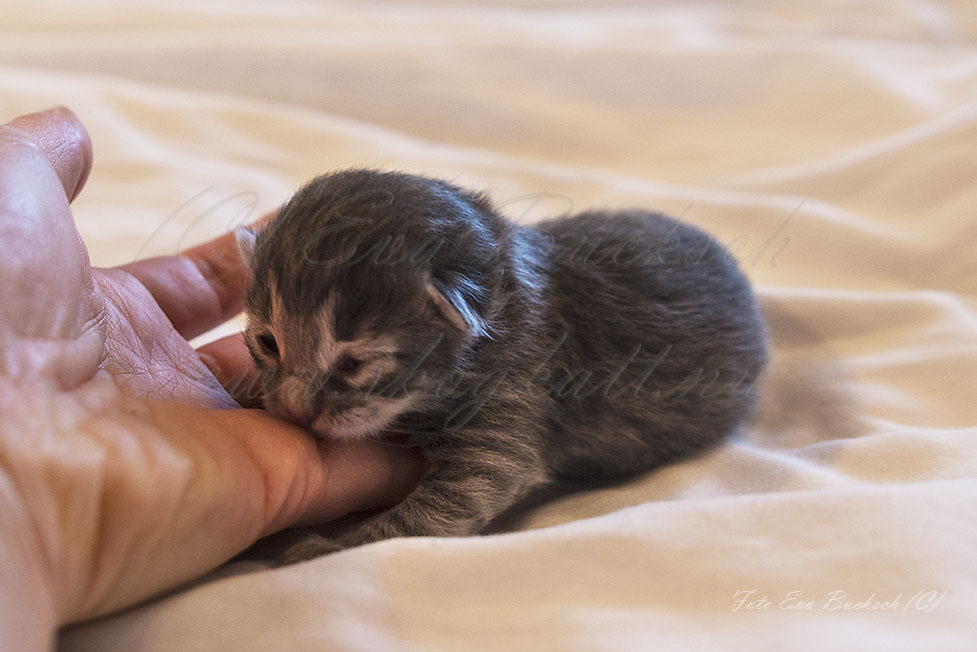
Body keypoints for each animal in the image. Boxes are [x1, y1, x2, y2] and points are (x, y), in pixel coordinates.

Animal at [238, 171, 772, 564]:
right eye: (268, 342)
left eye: (354, 363)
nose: (293, 410)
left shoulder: (510, 406)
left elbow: (449, 503)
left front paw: (328, 544)